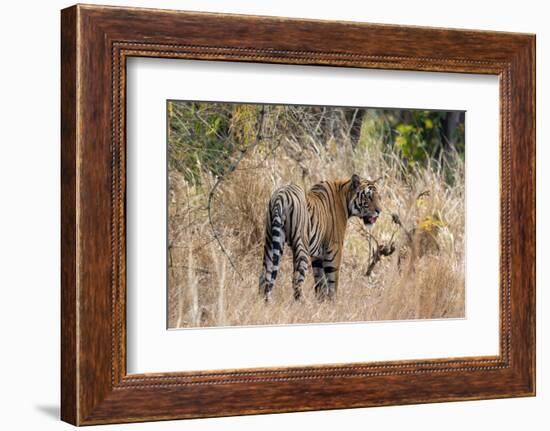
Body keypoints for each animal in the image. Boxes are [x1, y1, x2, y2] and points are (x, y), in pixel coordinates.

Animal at [260, 174, 382, 302]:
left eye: (379, 197)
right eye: (368, 197)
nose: (379, 211)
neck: (345, 197)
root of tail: (281, 196)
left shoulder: (318, 254)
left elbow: (320, 280)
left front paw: (321, 301)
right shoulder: (334, 248)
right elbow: (333, 280)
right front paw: (332, 301)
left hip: (270, 241)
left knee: (264, 275)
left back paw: (264, 301)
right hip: (301, 245)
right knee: (296, 279)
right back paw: (302, 302)